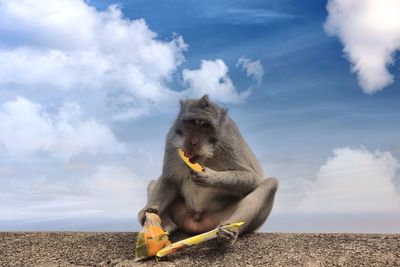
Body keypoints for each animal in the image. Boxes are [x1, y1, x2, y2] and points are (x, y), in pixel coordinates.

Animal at [139, 94, 280, 247]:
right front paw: (148, 211)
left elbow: (252, 178)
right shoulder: (172, 139)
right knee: (154, 182)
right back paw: (163, 224)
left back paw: (229, 232)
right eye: (192, 123)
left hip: (217, 219)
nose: (193, 142)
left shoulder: (228, 140)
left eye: (205, 126)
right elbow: (169, 180)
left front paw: (210, 177)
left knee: (270, 184)